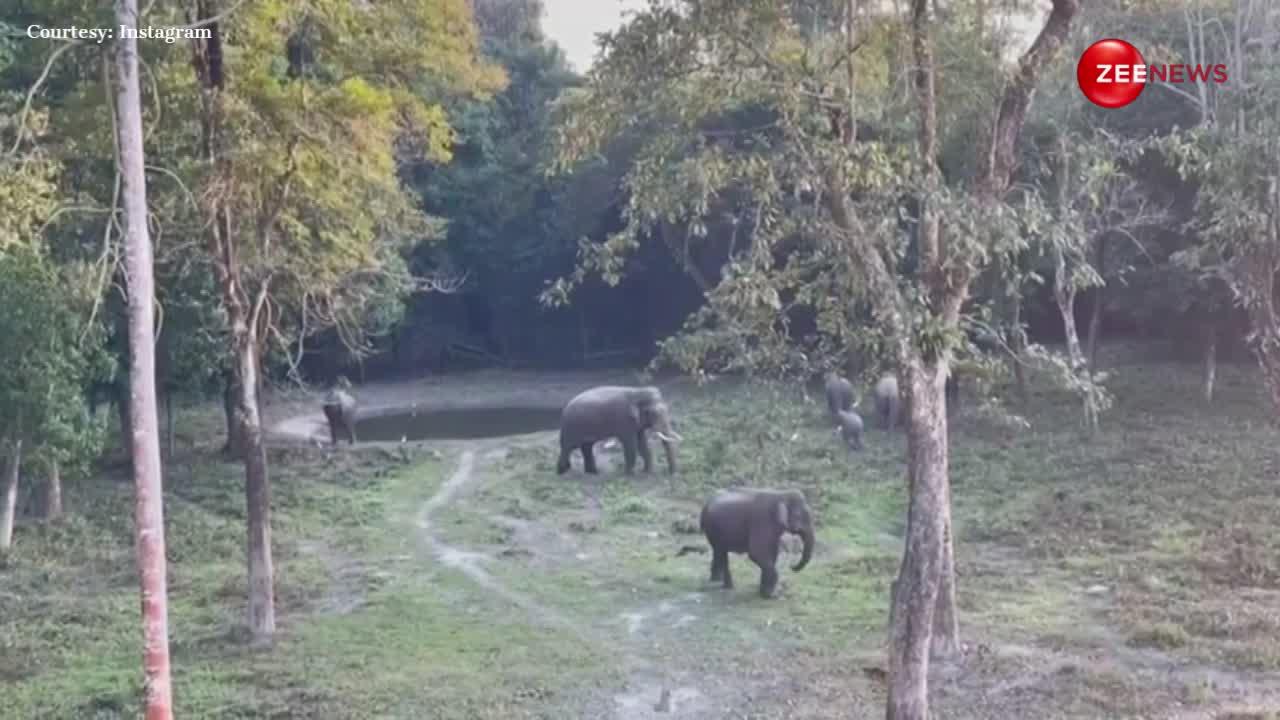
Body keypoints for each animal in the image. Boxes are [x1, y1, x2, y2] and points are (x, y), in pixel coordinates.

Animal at [558, 384, 686, 474]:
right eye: (653, 414)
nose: (673, 474)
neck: (637, 391)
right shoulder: (624, 420)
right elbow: (631, 445)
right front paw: (630, 474)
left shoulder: (636, 424)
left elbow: (642, 444)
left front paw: (647, 472)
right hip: (571, 428)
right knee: (567, 447)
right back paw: (562, 472)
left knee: (586, 447)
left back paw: (592, 473)